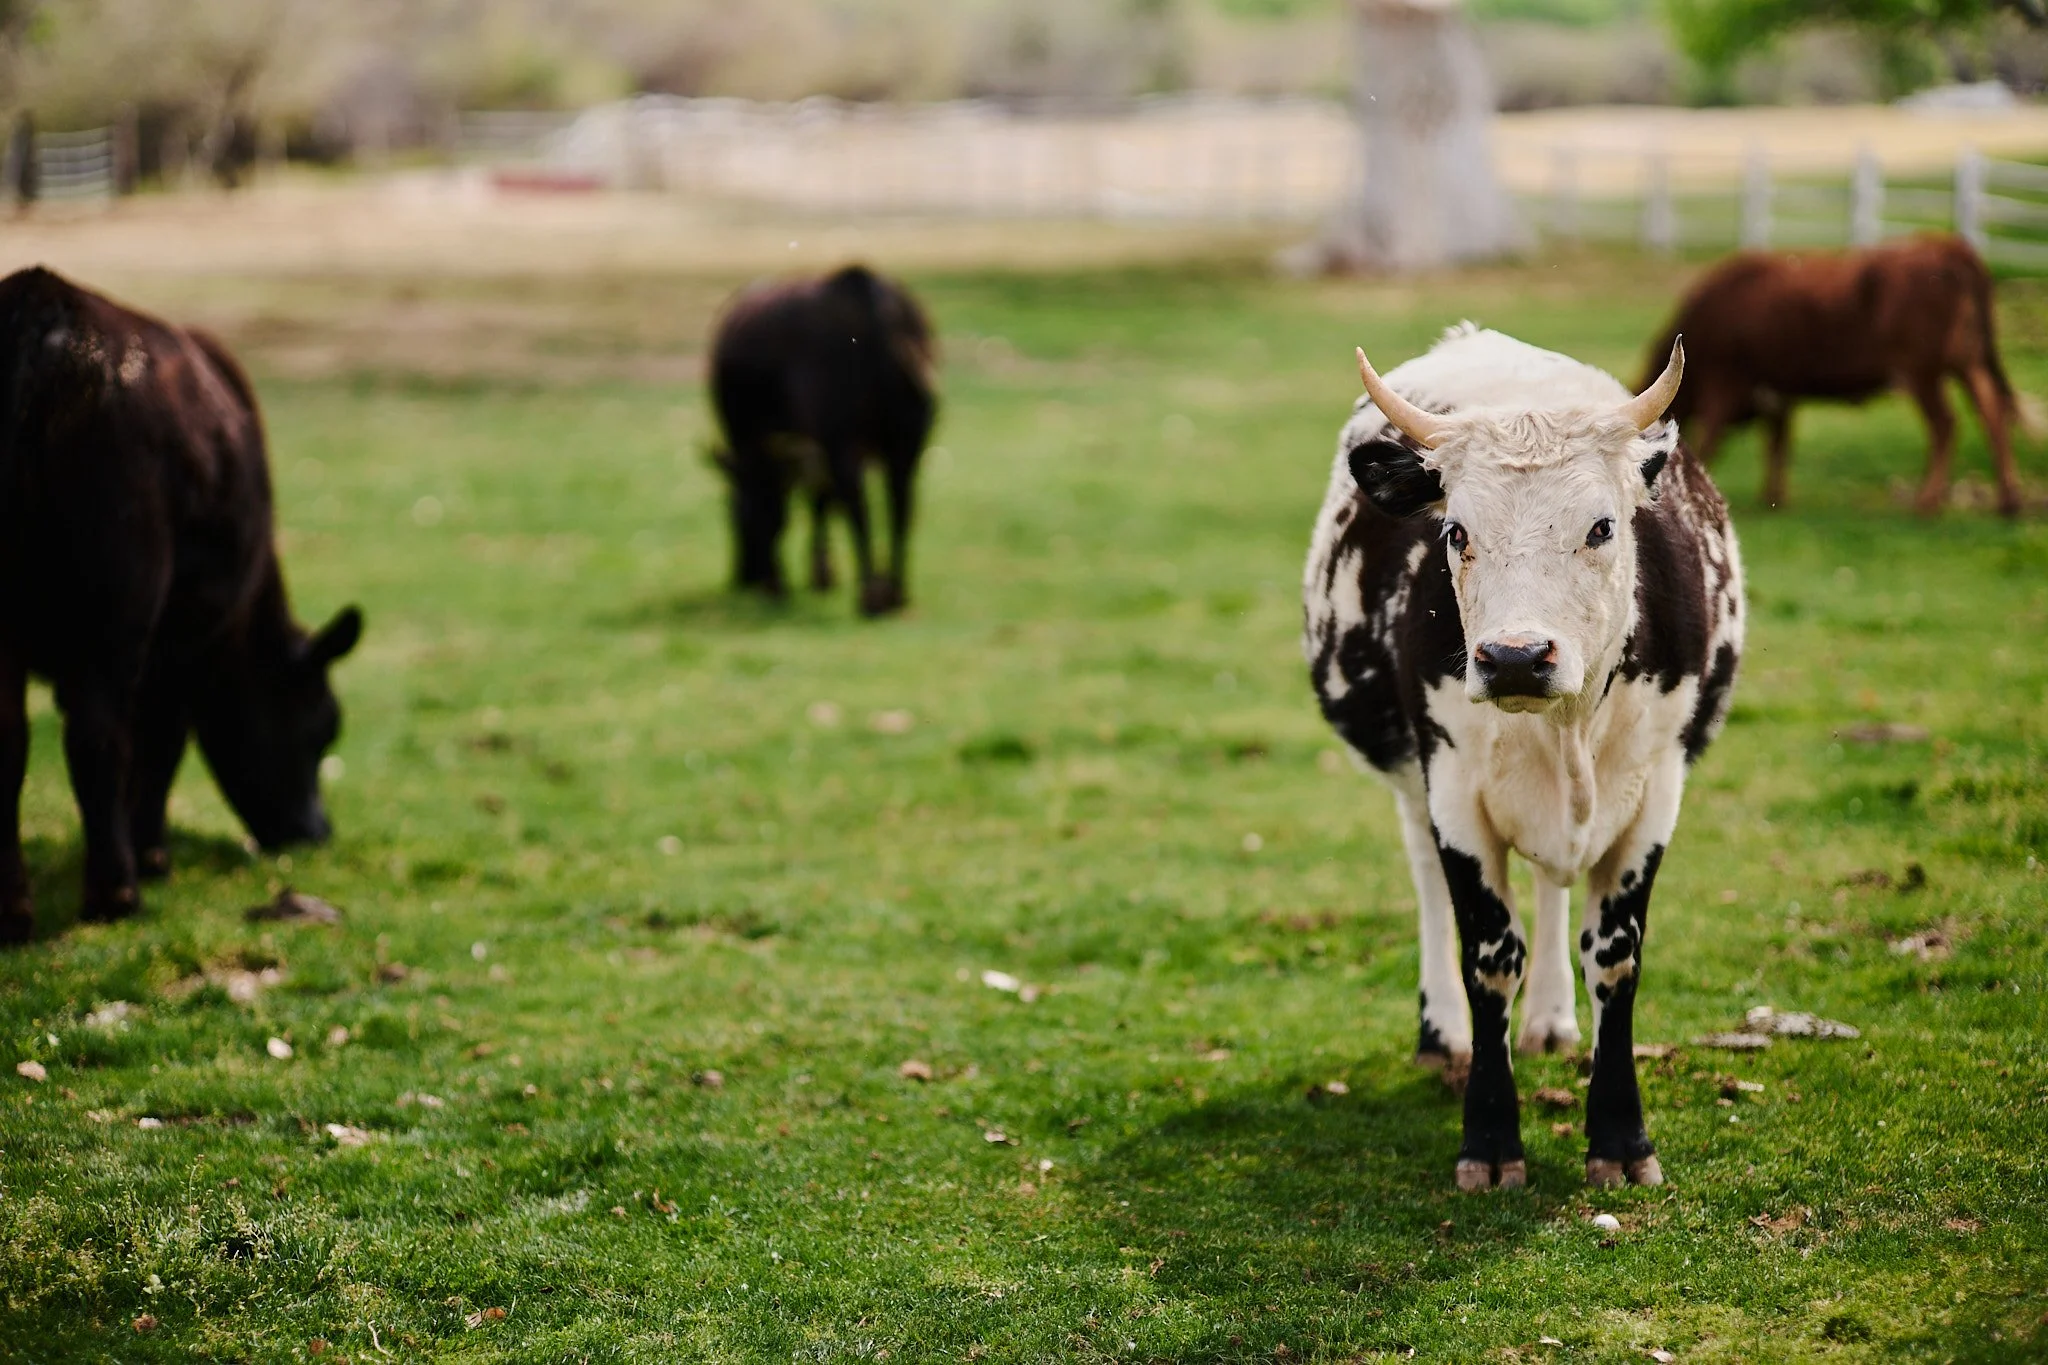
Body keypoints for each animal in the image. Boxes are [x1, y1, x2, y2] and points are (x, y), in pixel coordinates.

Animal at [0, 266, 362, 944]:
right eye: (323, 724)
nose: (315, 832)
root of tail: (43, 310)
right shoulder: (190, 640)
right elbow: (163, 737)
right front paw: (153, 854)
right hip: (121, 592)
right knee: (99, 732)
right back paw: (117, 893)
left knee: (9, 734)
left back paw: (14, 912)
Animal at [709, 265, 937, 617]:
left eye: (732, 514)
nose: (742, 577)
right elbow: (819, 500)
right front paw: (821, 574)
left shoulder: (756, 448)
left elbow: (774, 508)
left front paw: (778, 583)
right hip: (906, 440)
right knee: (901, 502)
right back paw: (896, 593)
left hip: (840, 439)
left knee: (857, 504)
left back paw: (870, 596)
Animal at [1304, 323, 1744, 1190]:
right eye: (1456, 531)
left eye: (1602, 526)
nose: (1513, 657)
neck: (1566, 722)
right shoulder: (1453, 792)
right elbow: (1487, 953)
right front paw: (1489, 1137)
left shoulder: (1656, 790)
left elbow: (1615, 957)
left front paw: (1620, 1137)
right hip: (1410, 781)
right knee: (1427, 882)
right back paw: (1442, 1033)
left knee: (1551, 887)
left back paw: (1549, 1019)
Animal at [1645, 234, 2026, 516]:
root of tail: (1945, 244)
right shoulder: (1778, 392)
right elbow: (1777, 443)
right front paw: (1773, 496)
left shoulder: (1727, 384)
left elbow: (1712, 440)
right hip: (1966, 363)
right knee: (1991, 412)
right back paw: (2009, 501)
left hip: (1923, 373)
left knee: (1945, 424)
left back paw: (1927, 502)